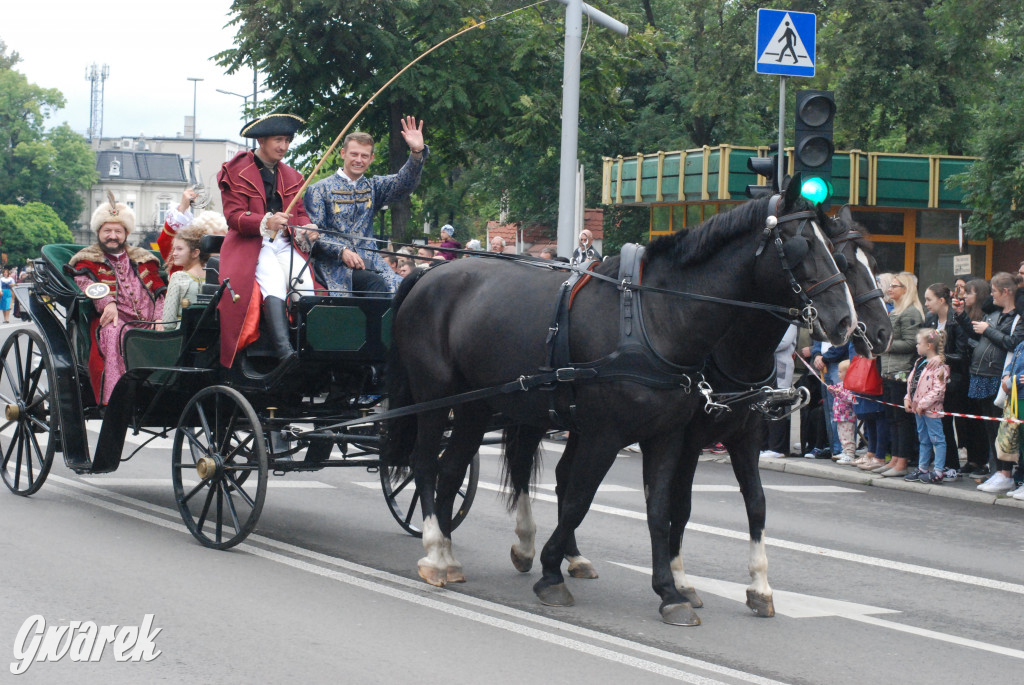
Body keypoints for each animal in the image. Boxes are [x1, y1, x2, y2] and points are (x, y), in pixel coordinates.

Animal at [385, 184, 856, 622]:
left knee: (452, 470)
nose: (847, 323)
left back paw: (449, 556)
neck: (657, 316)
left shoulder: (675, 436)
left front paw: (670, 593)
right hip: (436, 400)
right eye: (803, 244)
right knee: (426, 464)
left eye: (837, 251)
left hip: (476, 407)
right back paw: (436, 551)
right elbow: (581, 499)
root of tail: (428, 274)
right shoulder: (609, 435)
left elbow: (664, 509)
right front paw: (552, 573)